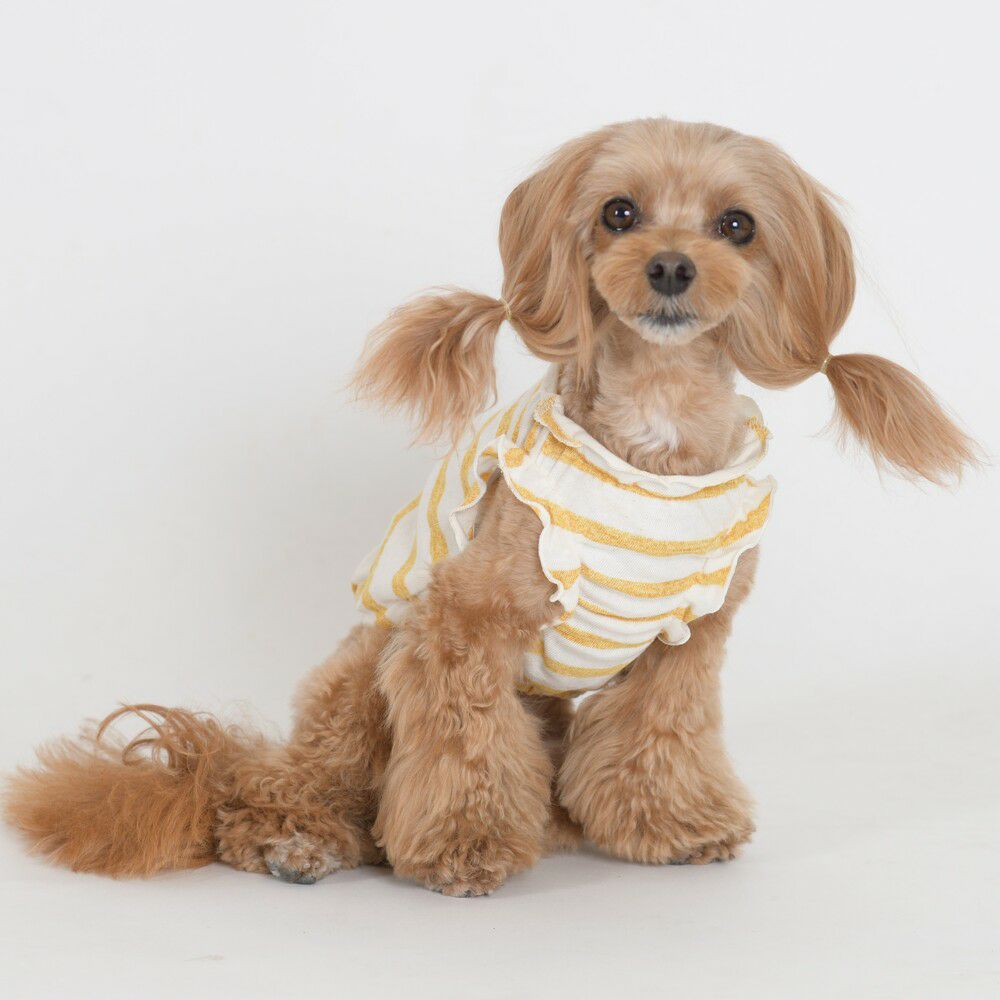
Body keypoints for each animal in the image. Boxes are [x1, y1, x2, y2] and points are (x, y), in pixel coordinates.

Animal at [4, 118, 976, 896]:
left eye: (737, 224)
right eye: (619, 212)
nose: (670, 266)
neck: (654, 432)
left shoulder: (688, 641)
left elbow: (663, 736)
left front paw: (672, 826)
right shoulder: (458, 628)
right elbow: (465, 748)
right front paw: (462, 848)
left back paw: (554, 824)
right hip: (364, 673)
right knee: (278, 789)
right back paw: (299, 841)